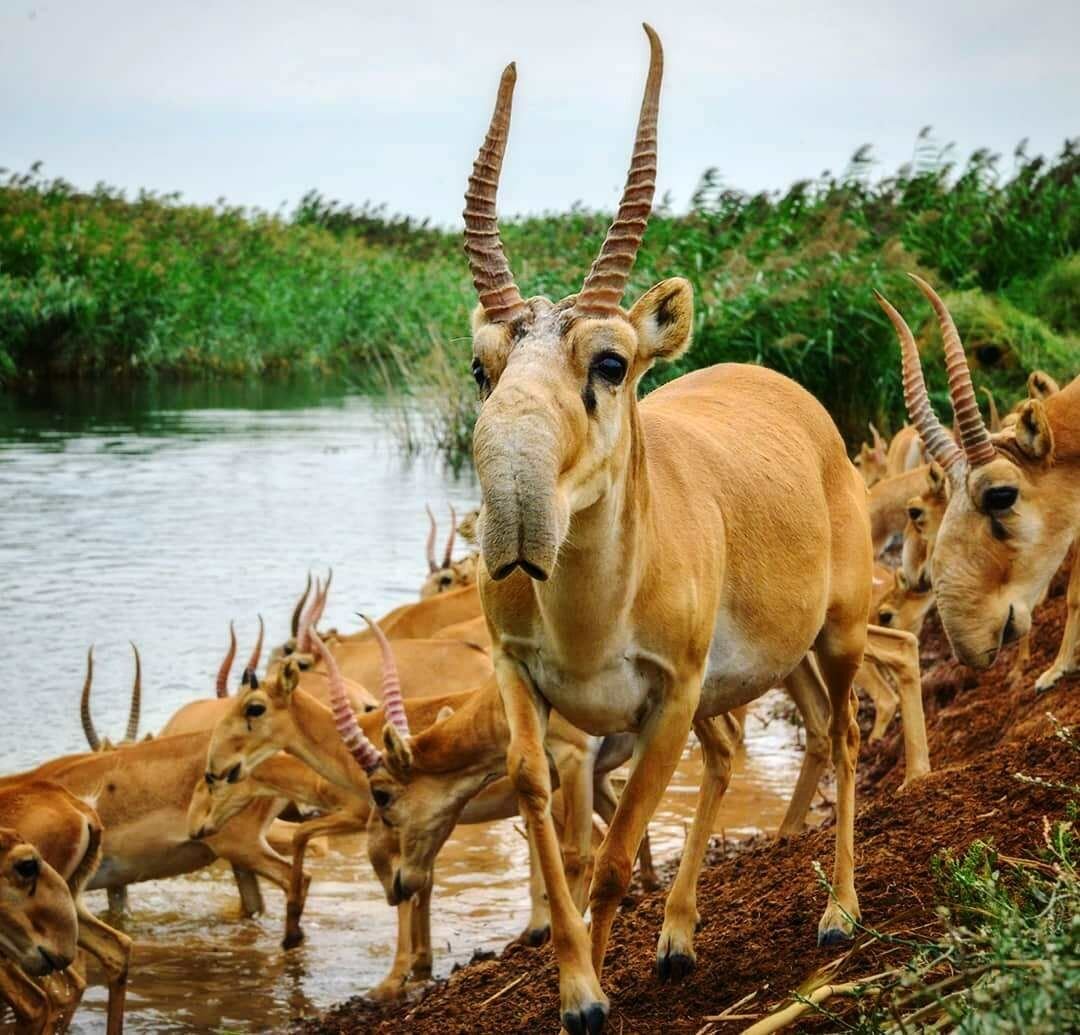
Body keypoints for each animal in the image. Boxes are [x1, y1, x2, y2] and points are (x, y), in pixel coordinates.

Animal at [362, 26, 868, 1035]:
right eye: (480, 368)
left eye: (610, 361)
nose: (513, 520)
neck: (592, 616)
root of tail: (791, 393)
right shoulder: (526, 689)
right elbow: (555, 826)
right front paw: (578, 985)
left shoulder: (666, 700)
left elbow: (616, 853)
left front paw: (596, 994)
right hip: (756, 673)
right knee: (744, 753)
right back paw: (677, 939)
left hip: (836, 635)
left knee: (843, 737)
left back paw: (839, 912)